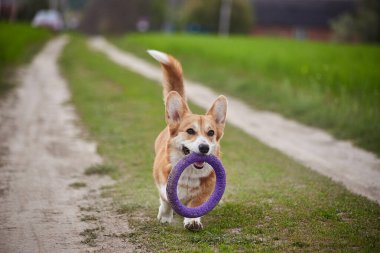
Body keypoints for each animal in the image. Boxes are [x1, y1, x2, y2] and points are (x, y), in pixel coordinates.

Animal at [147, 50, 227, 231]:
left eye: (211, 133)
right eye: (190, 131)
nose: (204, 148)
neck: (190, 172)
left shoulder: (207, 191)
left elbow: (195, 204)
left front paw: (193, 221)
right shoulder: (162, 182)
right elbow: (166, 199)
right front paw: (165, 216)